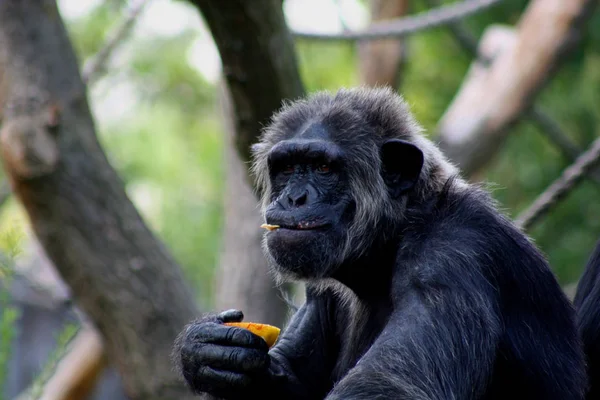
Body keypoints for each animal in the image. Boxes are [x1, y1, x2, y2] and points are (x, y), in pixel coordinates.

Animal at [175, 88, 600, 400]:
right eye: (288, 168)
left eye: (323, 167)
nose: (294, 197)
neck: (390, 242)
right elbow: (295, 380)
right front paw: (205, 350)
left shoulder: (451, 257)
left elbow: (390, 385)